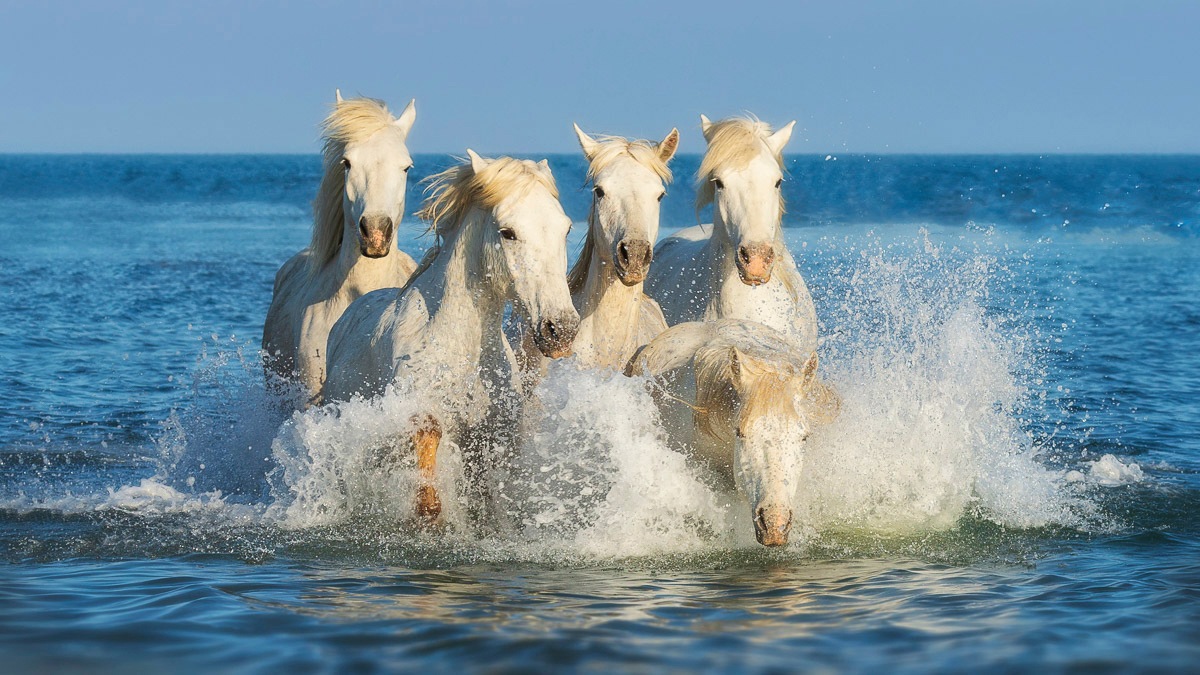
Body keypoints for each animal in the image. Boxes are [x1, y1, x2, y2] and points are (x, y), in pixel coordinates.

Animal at [324, 151, 576, 521]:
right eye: (508, 232)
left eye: (565, 228)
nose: (561, 330)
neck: (464, 350)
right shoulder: (415, 406)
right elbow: (428, 434)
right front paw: (428, 508)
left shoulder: (495, 436)